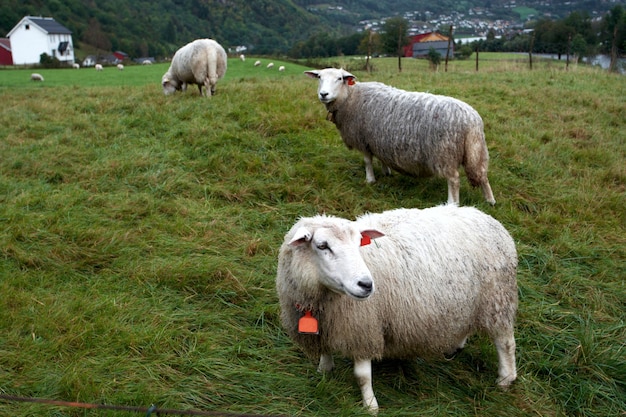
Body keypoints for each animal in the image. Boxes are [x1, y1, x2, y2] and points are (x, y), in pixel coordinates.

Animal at [276, 203, 516, 412]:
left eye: (359, 244)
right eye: (322, 246)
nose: (366, 284)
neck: (321, 300)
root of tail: (486, 218)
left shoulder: (364, 328)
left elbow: (362, 375)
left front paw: (370, 406)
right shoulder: (326, 326)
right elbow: (325, 352)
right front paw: (324, 372)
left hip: (497, 301)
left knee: (505, 342)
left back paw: (505, 379)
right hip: (465, 303)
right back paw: (455, 347)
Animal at [304, 67, 494, 206]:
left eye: (339, 78)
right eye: (319, 77)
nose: (323, 94)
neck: (351, 96)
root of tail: (471, 121)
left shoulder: (363, 139)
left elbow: (367, 161)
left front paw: (370, 180)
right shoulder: (378, 139)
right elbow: (381, 158)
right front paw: (386, 172)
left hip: (445, 153)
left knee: (454, 179)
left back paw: (452, 204)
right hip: (476, 151)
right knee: (483, 175)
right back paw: (490, 200)